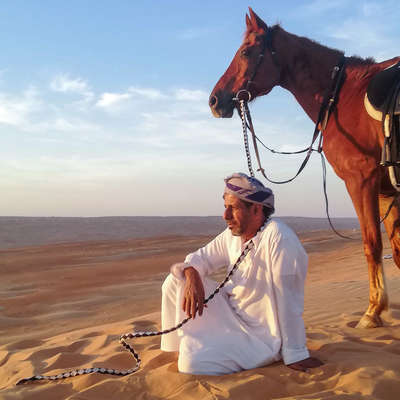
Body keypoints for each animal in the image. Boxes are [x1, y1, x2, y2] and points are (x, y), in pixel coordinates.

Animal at [209, 7, 400, 330]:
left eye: (246, 51)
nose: (214, 99)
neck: (343, 96)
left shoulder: (361, 181)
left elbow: (371, 243)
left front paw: (373, 311)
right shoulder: (387, 191)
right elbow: (396, 249)